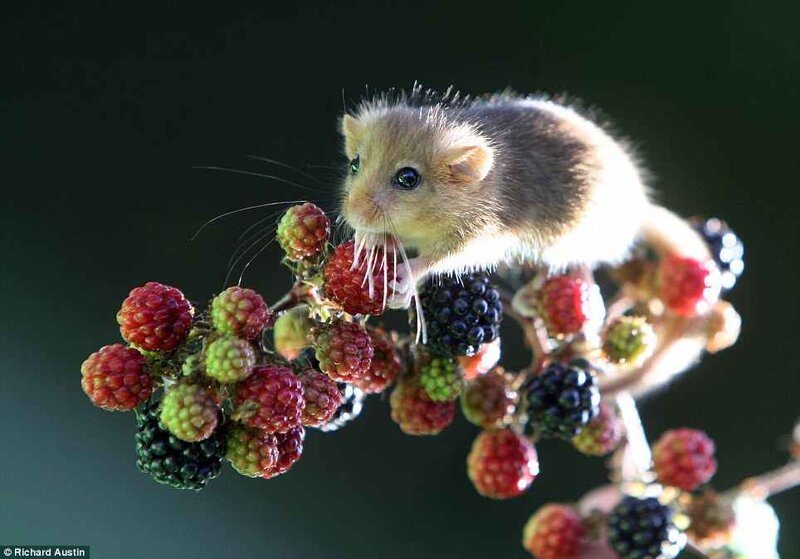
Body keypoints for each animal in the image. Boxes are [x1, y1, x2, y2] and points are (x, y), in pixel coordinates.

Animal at [338, 86, 709, 308]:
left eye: (408, 178)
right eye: (355, 164)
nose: (354, 215)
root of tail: (641, 207)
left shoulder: (484, 236)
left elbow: (441, 260)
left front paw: (405, 277)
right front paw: (370, 240)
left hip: (571, 238)